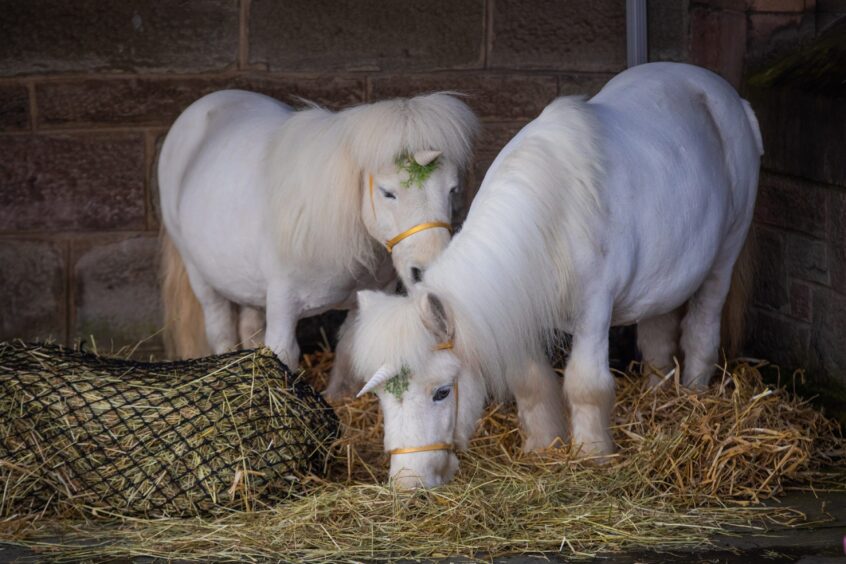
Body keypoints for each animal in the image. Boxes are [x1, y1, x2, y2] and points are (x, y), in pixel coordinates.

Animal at [158, 90, 476, 368]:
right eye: (388, 193)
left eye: (452, 189)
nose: (428, 271)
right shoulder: (283, 311)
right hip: (200, 277)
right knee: (220, 329)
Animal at [350, 62, 760, 490]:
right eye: (381, 397)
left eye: (442, 392)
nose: (407, 482)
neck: (550, 218)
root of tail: (726, 95)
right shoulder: (519, 310)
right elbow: (530, 383)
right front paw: (543, 447)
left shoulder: (594, 312)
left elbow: (585, 385)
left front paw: (592, 454)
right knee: (657, 336)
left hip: (725, 255)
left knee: (702, 326)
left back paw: (695, 395)